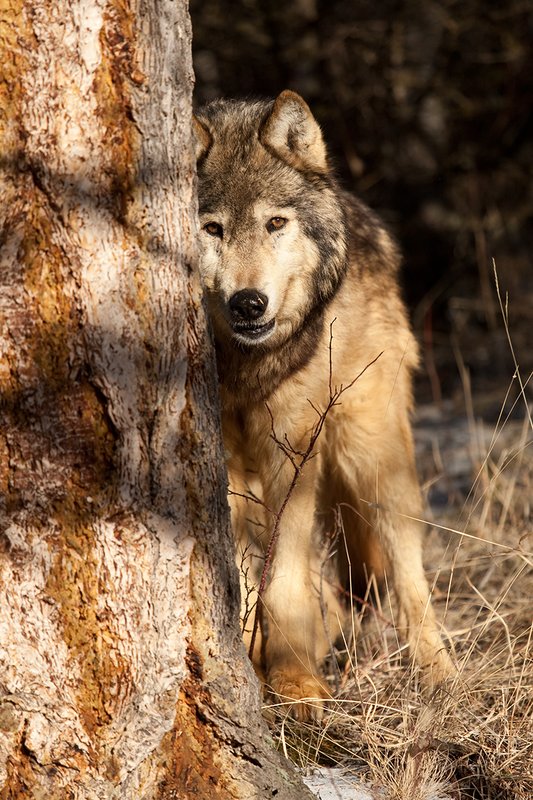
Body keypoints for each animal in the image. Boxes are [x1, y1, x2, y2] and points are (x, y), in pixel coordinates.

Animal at [193, 90, 453, 720]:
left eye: (275, 223)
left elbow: (285, 575)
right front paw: (249, 660)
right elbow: (245, 573)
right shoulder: (225, 461)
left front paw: (295, 684)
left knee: (407, 574)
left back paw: (439, 676)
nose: (248, 303)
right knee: (332, 596)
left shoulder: (292, 450)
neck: (249, 366)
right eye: (212, 228)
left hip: (371, 457)